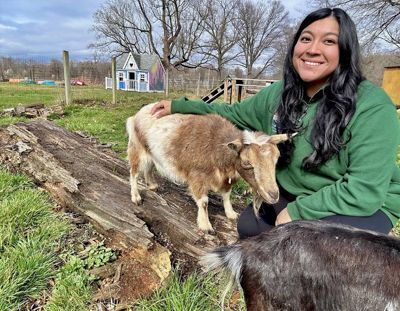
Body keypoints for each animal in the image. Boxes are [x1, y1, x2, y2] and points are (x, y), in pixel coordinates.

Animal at [126, 103, 290, 233]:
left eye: (276, 159)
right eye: (247, 162)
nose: (274, 195)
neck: (217, 147)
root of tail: (136, 115)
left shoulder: (226, 178)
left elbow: (227, 195)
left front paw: (231, 213)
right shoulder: (197, 176)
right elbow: (204, 202)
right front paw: (206, 226)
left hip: (151, 151)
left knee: (149, 168)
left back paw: (152, 185)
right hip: (137, 148)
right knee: (134, 172)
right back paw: (136, 197)